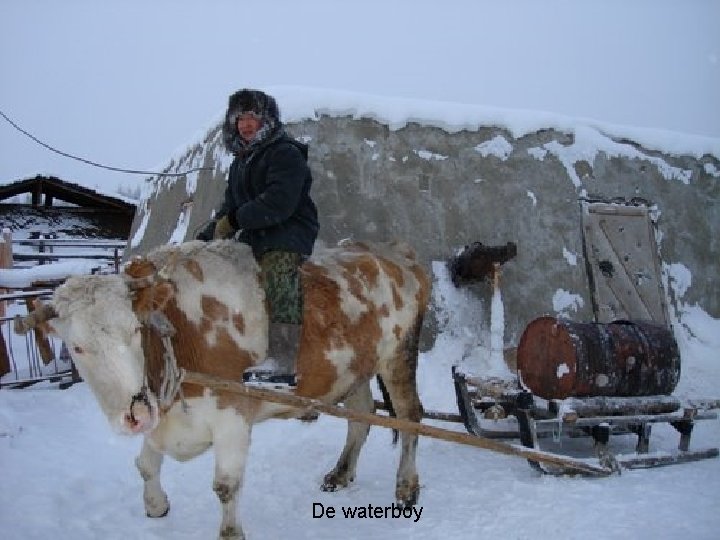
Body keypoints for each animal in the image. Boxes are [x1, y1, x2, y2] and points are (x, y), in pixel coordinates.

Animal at [17, 239, 431, 540]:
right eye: (76, 347)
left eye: (134, 330)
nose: (135, 414)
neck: (178, 336)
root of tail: (398, 255)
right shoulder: (162, 415)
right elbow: (145, 464)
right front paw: (156, 505)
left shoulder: (232, 417)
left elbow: (226, 486)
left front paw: (231, 533)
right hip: (353, 370)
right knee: (362, 416)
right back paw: (341, 473)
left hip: (398, 356)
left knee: (410, 416)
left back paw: (406, 487)